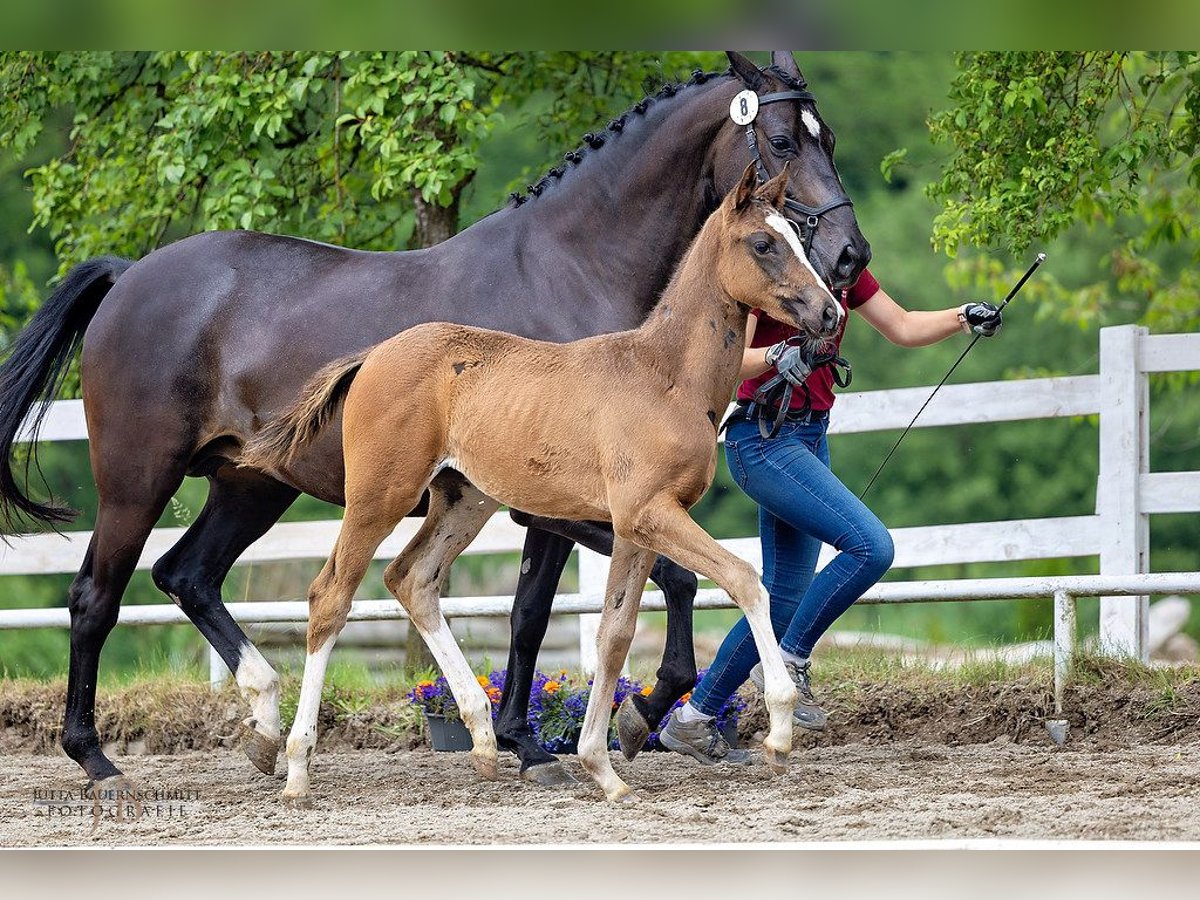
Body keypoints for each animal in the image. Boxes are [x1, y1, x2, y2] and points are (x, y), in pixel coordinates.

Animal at [241, 165, 844, 806]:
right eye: (764, 243)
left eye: (799, 237)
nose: (830, 314)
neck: (665, 377)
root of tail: (374, 354)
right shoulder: (648, 515)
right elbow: (744, 579)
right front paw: (779, 732)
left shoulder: (637, 527)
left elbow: (613, 634)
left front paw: (603, 767)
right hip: (381, 496)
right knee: (330, 597)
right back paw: (297, 766)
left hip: (463, 501)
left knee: (411, 579)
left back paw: (484, 740)